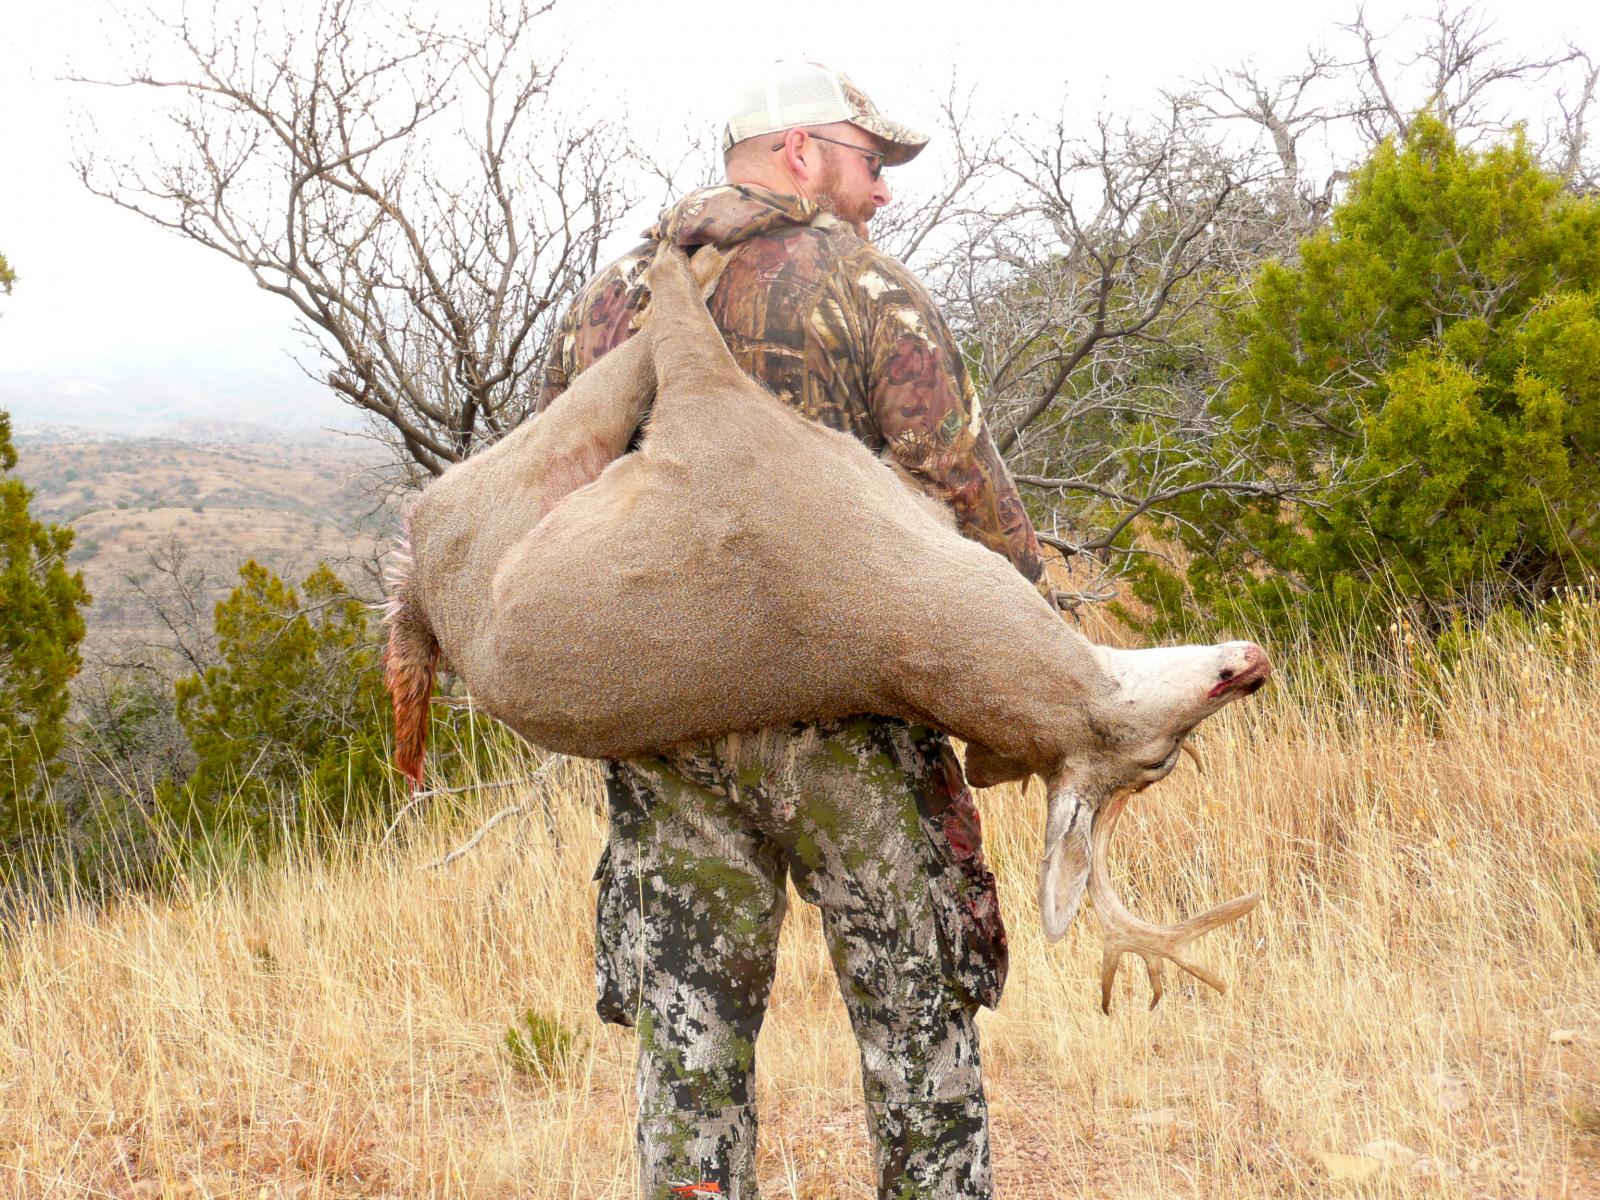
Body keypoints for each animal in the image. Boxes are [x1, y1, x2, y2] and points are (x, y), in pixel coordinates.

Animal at [384, 242, 1272, 1012]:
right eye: (1164, 756)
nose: (1254, 662)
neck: (889, 581)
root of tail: (426, 605)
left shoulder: (712, 404)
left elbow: (677, 313)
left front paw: (691, 244)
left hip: (517, 482)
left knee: (450, 495)